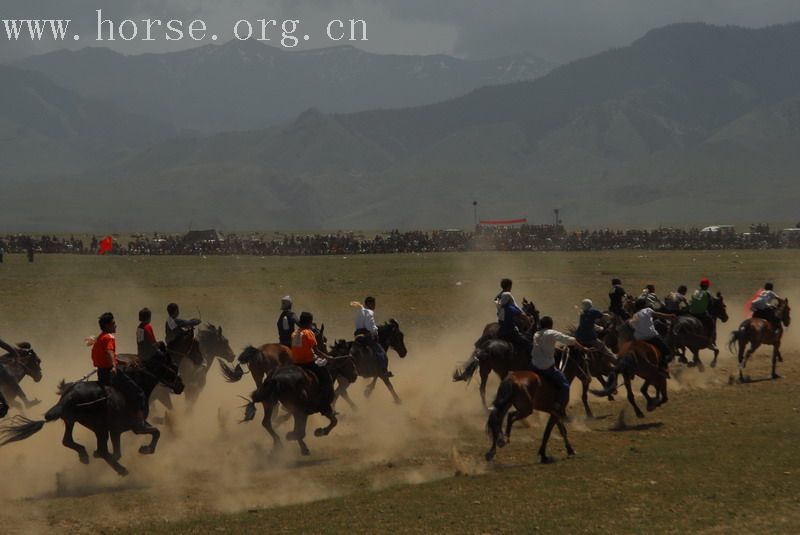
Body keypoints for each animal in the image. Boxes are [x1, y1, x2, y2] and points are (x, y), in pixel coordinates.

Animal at [0, 352, 184, 478]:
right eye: (174, 367)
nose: (181, 385)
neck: (138, 384)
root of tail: (68, 396)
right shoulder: (137, 426)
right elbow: (156, 432)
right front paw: (146, 449)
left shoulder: (116, 430)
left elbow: (118, 451)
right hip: (99, 429)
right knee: (101, 450)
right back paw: (121, 469)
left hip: (74, 422)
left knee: (69, 441)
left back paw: (85, 455)